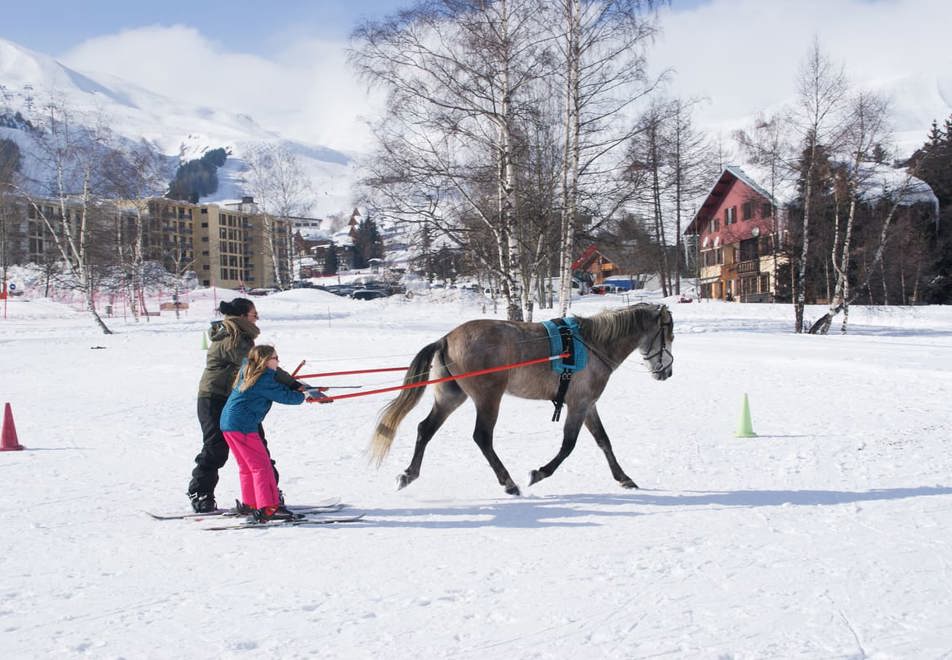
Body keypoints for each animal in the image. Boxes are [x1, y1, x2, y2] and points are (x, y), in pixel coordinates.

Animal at [368, 302, 672, 492]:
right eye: (668, 333)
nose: (667, 371)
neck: (592, 344)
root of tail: (446, 339)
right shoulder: (579, 404)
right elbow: (568, 445)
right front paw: (539, 473)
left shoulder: (588, 406)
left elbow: (603, 441)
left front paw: (624, 478)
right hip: (488, 398)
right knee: (482, 437)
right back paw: (508, 482)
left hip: (451, 397)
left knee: (425, 429)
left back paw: (409, 474)